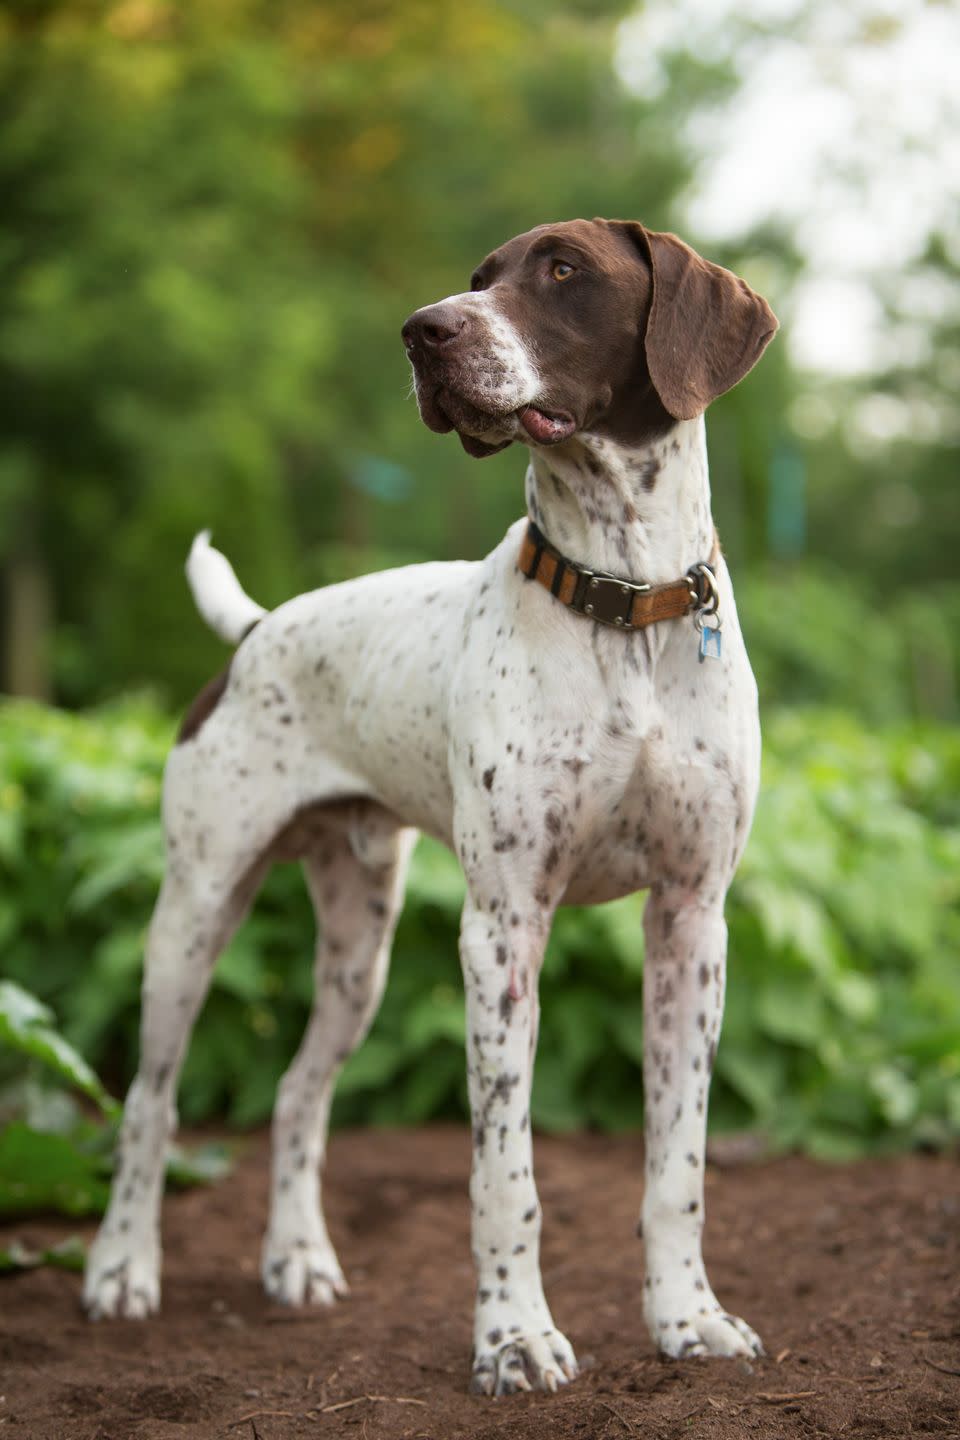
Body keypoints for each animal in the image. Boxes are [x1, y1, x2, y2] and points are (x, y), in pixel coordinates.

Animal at [86, 216, 782, 1393]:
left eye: (563, 270)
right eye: (475, 279)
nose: (422, 333)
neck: (624, 603)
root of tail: (256, 632)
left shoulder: (693, 922)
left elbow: (676, 1167)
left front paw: (689, 1320)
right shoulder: (501, 934)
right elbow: (506, 1174)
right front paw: (514, 1338)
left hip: (359, 947)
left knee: (296, 1095)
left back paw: (298, 1261)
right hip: (195, 911)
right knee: (149, 1102)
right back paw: (122, 1271)